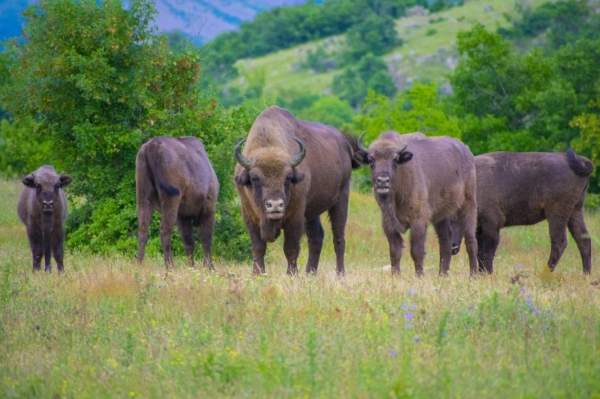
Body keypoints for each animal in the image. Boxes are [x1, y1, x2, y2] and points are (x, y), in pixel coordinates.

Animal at [135, 136, 218, 270]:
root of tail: (151, 147)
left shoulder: (183, 216)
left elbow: (189, 242)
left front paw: (191, 266)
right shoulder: (208, 209)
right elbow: (206, 239)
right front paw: (210, 267)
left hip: (143, 197)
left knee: (143, 229)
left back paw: (139, 263)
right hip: (171, 199)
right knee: (164, 230)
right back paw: (170, 266)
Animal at [232, 106, 358, 276]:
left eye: (288, 177)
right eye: (254, 178)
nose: (275, 205)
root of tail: (345, 145)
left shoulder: (295, 218)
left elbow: (290, 248)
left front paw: (291, 274)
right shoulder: (250, 217)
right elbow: (258, 247)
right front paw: (257, 273)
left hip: (341, 200)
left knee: (338, 237)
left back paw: (340, 274)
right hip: (312, 212)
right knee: (317, 237)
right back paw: (310, 273)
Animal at [356, 133, 478, 276]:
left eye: (395, 159)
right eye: (371, 160)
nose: (383, 181)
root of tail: (467, 151)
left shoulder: (418, 221)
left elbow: (416, 251)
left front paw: (419, 275)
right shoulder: (388, 225)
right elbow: (395, 251)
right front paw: (395, 275)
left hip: (468, 204)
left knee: (470, 240)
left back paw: (473, 274)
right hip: (442, 216)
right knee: (445, 241)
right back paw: (442, 274)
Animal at [450, 150, 596, 276]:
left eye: (456, 218)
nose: (452, 247)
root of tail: (580, 161)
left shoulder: (491, 225)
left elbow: (487, 253)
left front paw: (487, 273)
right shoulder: (480, 229)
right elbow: (480, 252)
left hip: (556, 214)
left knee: (559, 242)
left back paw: (545, 273)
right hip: (575, 211)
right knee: (583, 239)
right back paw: (586, 274)